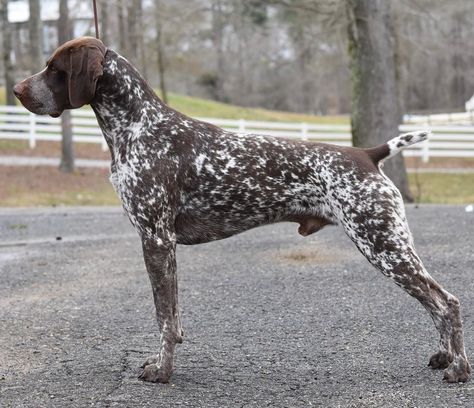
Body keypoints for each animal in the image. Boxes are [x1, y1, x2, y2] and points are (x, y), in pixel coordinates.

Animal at [13, 37, 470, 382]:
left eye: (54, 68)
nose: (16, 90)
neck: (138, 126)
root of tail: (368, 154)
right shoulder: (165, 246)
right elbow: (172, 316)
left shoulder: (155, 239)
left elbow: (163, 318)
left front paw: (162, 372)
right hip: (389, 244)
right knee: (436, 303)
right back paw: (444, 357)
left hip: (382, 243)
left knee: (446, 302)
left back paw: (459, 369)